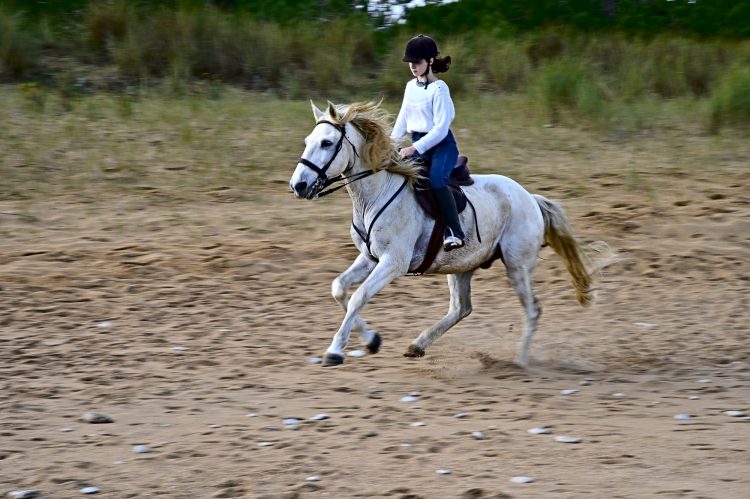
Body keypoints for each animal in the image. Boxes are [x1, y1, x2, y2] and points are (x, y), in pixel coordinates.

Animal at [289, 100, 594, 367]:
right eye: (308, 140)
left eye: (327, 143)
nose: (298, 185)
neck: (377, 194)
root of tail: (530, 198)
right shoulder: (369, 259)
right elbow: (339, 288)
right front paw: (372, 340)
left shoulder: (393, 263)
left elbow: (358, 297)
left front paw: (334, 351)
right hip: (462, 265)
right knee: (461, 308)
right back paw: (417, 345)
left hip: (517, 265)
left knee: (531, 310)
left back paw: (520, 362)